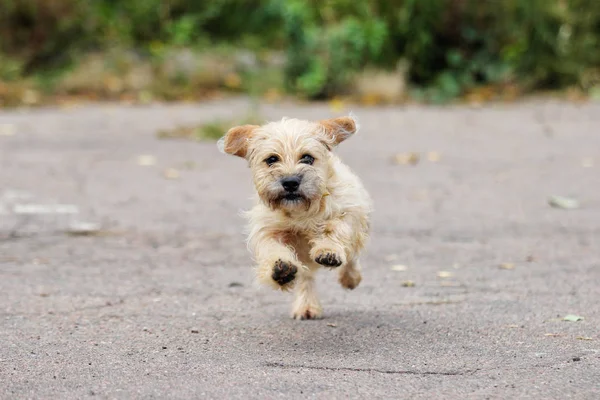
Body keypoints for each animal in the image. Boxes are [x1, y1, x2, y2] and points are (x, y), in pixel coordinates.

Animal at [218, 115, 372, 318]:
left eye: (307, 157)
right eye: (272, 159)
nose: (290, 182)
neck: (300, 212)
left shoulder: (347, 211)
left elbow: (334, 229)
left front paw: (328, 250)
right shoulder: (268, 229)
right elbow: (271, 247)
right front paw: (280, 269)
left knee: (352, 256)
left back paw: (350, 278)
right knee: (306, 277)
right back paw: (306, 306)